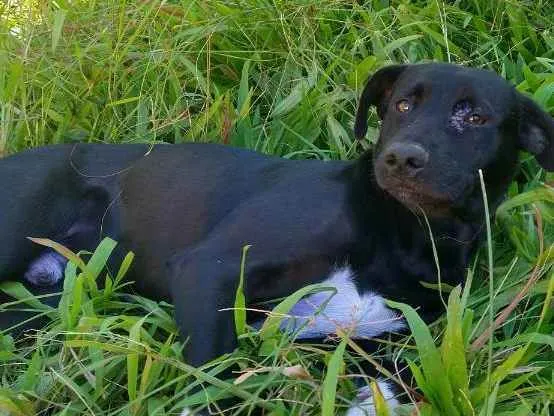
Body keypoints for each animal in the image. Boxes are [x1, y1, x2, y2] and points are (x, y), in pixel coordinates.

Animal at [1, 61, 552, 412]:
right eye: (401, 106)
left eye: (475, 117)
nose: (400, 158)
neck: (407, 232)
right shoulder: (211, 269)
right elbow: (213, 387)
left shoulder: (379, 344)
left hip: (32, 312)